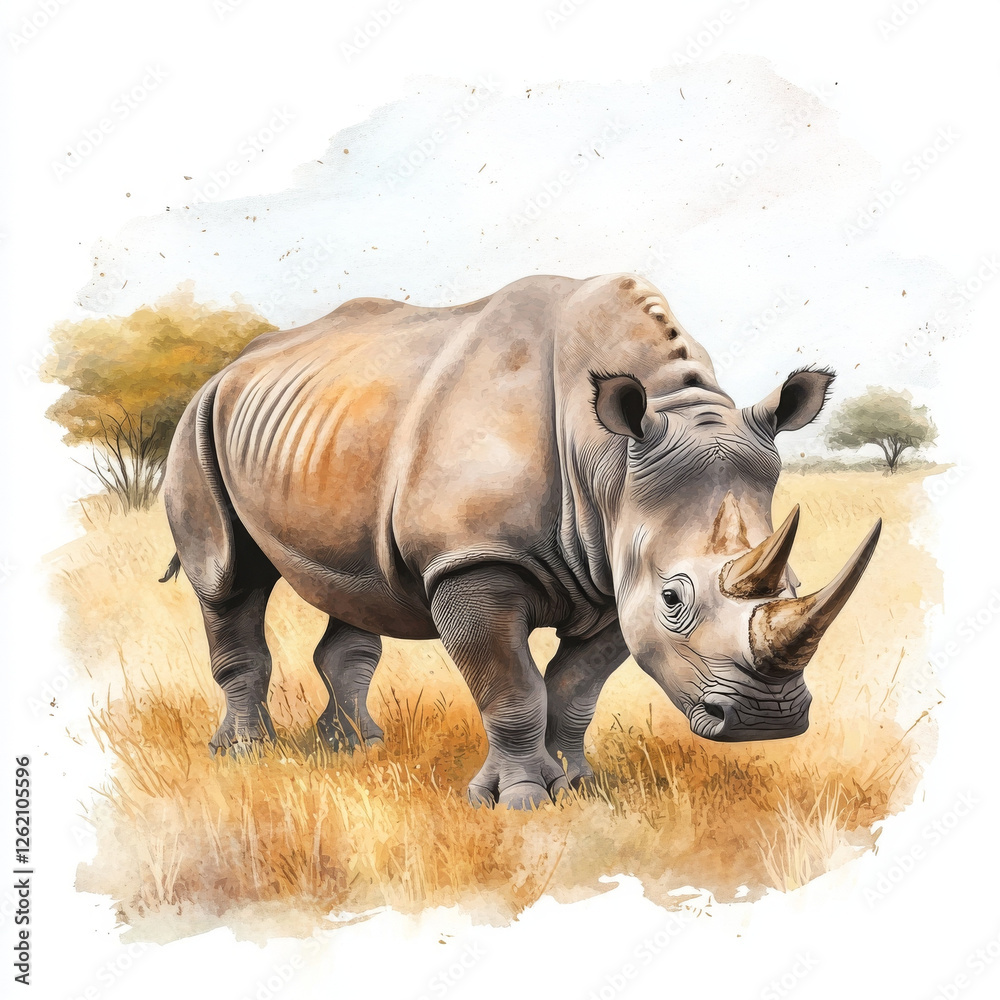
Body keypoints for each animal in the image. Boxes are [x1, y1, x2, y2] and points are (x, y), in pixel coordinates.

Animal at [161, 272, 880, 808]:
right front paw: (518, 801)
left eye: (795, 584)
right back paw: (245, 753)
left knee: (354, 590)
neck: (610, 460)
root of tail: (232, 366)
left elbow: (573, 692)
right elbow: (512, 691)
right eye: (674, 600)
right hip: (197, 422)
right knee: (227, 581)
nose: (769, 719)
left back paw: (357, 746)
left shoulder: (615, 573)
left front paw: (576, 787)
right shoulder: (472, 562)